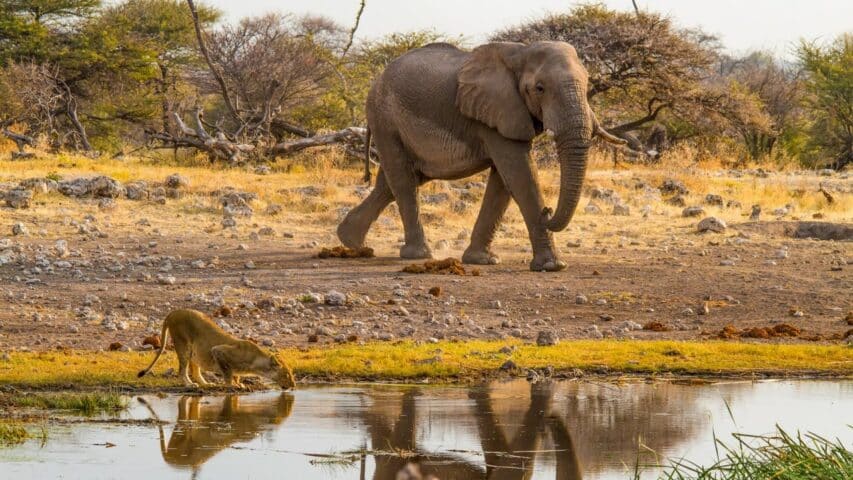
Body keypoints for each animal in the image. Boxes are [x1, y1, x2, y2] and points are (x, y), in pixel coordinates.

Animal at [336, 39, 624, 272]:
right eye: (540, 88)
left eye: (587, 85)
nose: (548, 211)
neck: (521, 53)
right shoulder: (496, 111)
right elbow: (519, 173)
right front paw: (552, 266)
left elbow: (505, 181)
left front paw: (483, 260)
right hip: (385, 119)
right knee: (403, 180)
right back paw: (418, 255)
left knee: (394, 181)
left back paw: (351, 241)